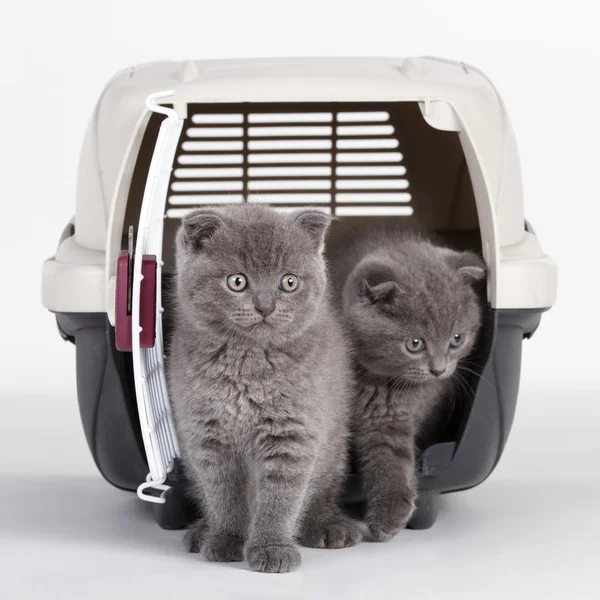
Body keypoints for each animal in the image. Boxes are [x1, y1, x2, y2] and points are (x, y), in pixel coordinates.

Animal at [166, 205, 358, 572]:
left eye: (289, 282)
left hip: (333, 446)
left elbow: (279, 497)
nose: (266, 306)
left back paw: (329, 527)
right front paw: (226, 539)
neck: (248, 361)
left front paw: (272, 548)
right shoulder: (208, 436)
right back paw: (201, 532)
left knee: (323, 489)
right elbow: (223, 496)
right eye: (237, 281)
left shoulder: (292, 433)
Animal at [330, 230, 486, 540]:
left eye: (457, 339)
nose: (439, 369)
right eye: (415, 344)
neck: (380, 382)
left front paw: (389, 514)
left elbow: (393, 456)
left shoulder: (392, 416)